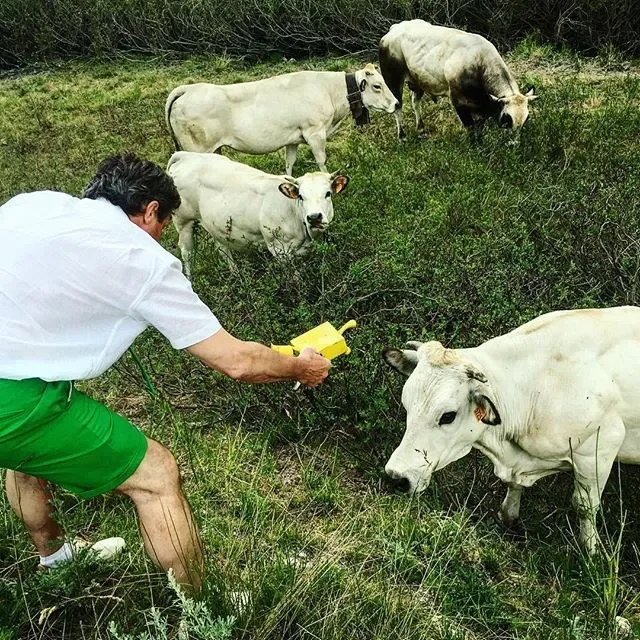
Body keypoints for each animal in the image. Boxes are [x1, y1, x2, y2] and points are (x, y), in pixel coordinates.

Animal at [165, 65, 398, 176]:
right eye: (377, 85)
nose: (396, 103)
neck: (329, 91)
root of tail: (188, 89)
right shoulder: (315, 132)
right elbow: (321, 161)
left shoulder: (293, 138)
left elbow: (289, 163)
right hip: (197, 149)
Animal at [167, 151, 349, 276]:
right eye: (301, 196)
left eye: (328, 193)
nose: (314, 217)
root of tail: (186, 156)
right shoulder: (279, 249)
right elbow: (295, 278)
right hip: (183, 221)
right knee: (186, 253)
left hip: (215, 224)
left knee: (222, 248)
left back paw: (236, 274)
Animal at [379, 20, 537, 143]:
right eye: (507, 118)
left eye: (526, 119)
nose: (513, 144)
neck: (479, 63)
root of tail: (395, 28)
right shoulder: (458, 101)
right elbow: (470, 127)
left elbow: (479, 127)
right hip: (393, 79)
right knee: (398, 106)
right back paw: (402, 137)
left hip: (417, 81)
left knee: (415, 102)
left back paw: (421, 130)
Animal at [382, 307, 640, 554]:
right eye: (406, 404)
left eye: (448, 416)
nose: (396, 477)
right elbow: (512, 493)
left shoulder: (600, 446)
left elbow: (584, 508)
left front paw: (591, 553)